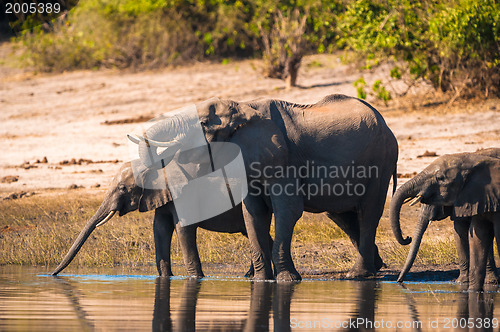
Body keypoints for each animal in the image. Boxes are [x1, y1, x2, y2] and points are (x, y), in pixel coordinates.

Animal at [51, 161, 274, 278]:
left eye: (123, 188)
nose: (52, 274)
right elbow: (159, 229)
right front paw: (166, 277)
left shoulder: (184, 196)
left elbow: (183, 229)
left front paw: (196, 278)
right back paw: (249, 276)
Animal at [129, 93, 398, 280]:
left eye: (204, 124)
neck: (243, 106)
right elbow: (253, 213)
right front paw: (261, 281)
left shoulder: (283, 160)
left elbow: (287, 210)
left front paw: (288, 280)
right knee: (342, 215)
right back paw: (375, 266)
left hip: (381, 161)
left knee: (369, 213)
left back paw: (358, 275)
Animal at [390, 148, 500, 290]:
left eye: (440, 178)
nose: (408, 237)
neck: (469, 158)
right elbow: (460, 232)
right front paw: (461, 283)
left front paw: (490, 283)